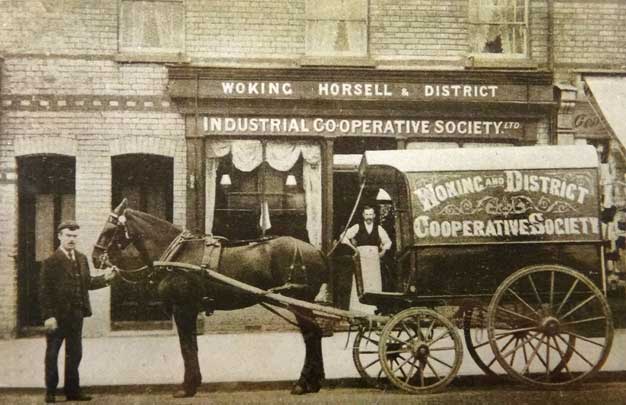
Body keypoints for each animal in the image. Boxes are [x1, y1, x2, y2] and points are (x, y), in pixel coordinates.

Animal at [91, 197, 332, 396]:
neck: (177, 255)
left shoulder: (183, 308)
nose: (95, 257)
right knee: (314, 334)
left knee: (311, 335)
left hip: (300, 301)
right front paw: (194, 383)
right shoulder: (188, 310)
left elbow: (186, 346)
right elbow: (192, 345)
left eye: (111, 228)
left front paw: (187, 387)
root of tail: (316, 251)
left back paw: (303, 383)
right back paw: (314, 382)